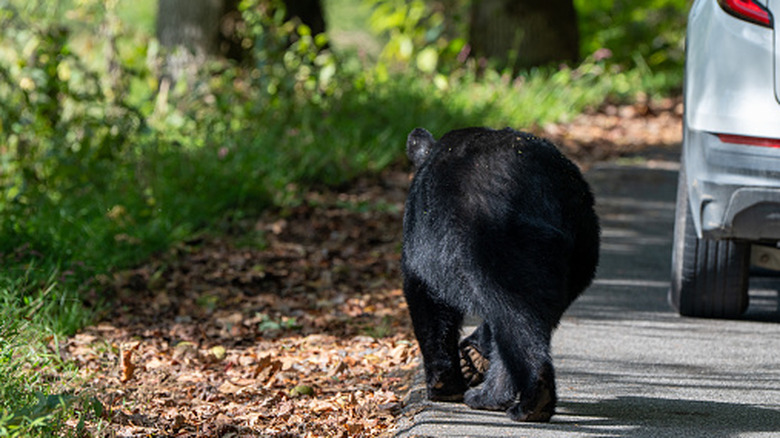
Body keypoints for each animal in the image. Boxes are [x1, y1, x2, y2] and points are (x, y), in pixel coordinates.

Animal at [401, 127, 599, 422]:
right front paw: (470, 358)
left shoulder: (422, 238)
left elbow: (426, 297)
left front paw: (444, 384)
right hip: (581, 250)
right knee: (523, 318)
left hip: (491, 241)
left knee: (512, 315)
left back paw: (523, 400)